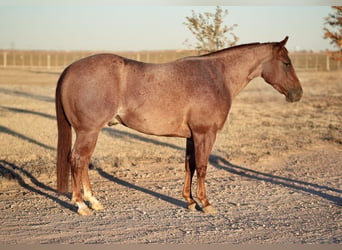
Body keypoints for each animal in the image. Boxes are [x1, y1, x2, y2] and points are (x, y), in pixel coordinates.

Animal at [55, 36, 302, 215]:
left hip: (90, 133)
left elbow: (189, 166)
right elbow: (202, 167)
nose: (297, 94)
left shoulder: (191, 136)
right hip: (89, 132)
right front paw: (205, 203)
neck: (217, 76)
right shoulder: (205, 134)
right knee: (77, 160)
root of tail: (69, 69)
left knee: (83, 162)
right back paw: (81, 205)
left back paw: (93, 201)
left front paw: (190, 201)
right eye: (286, 63)